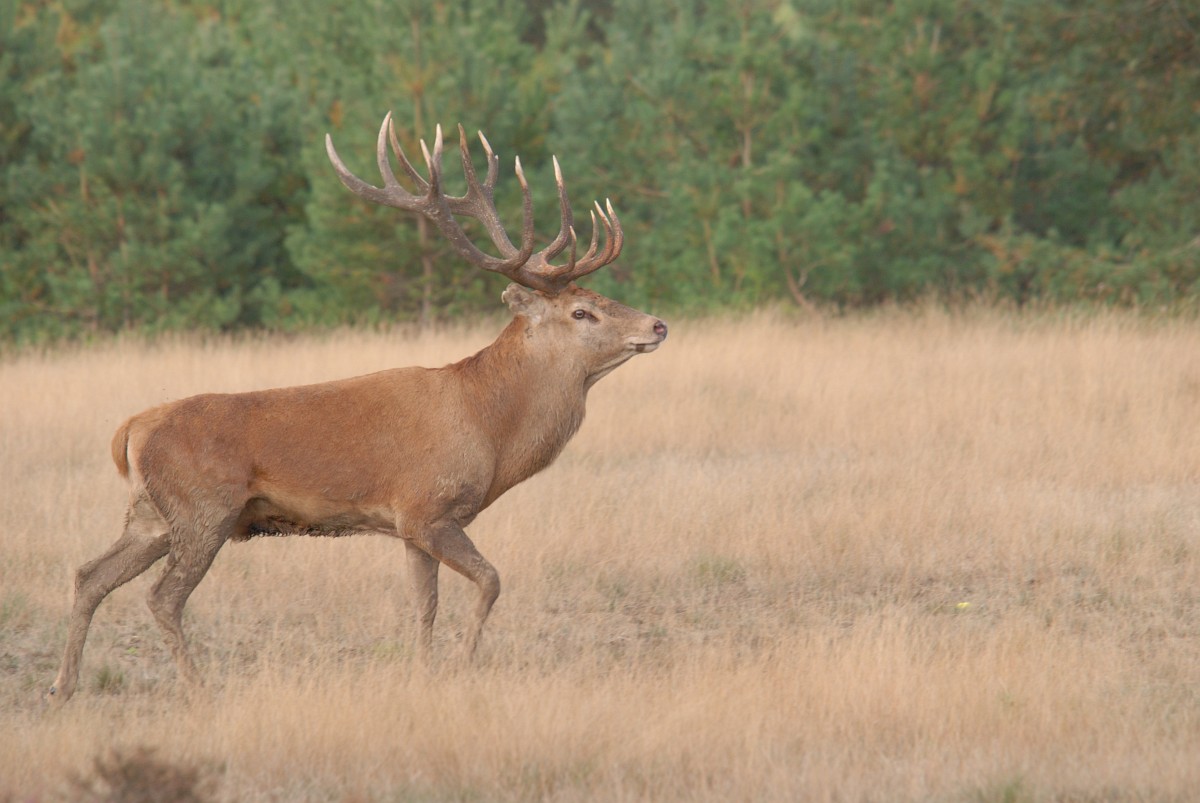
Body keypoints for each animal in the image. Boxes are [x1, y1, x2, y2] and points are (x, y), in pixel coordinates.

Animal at [47, 112, 667, 703]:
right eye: (582, 312)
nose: (657, 324)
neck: (490, 428)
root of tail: (130, 430)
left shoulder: (411, 527)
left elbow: (425, 604)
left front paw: (423, 674)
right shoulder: (428, 507)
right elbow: (491, 581)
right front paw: (463, 665)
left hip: (151, 515)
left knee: (89, 574)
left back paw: (63, 686)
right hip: (204, 510)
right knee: (162, 597)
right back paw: (198, 690)